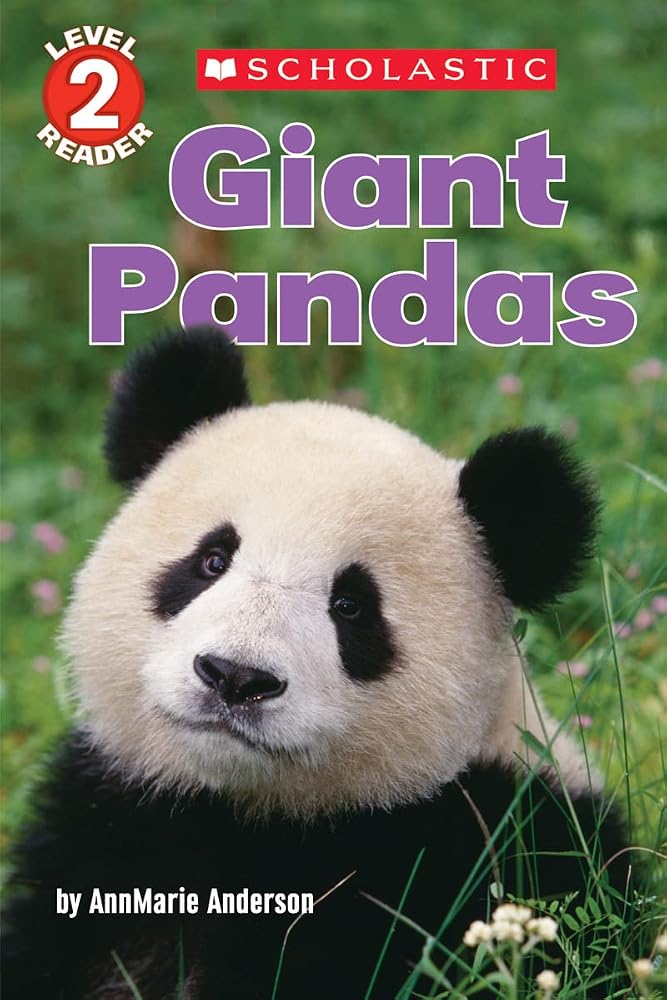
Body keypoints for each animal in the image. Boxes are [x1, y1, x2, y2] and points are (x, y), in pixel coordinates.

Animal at [3, 329, 632, 1000]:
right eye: (212, 560)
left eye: (351, 606)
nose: (235, 677)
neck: (242, 813)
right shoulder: (108, 833)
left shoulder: (482, 849)